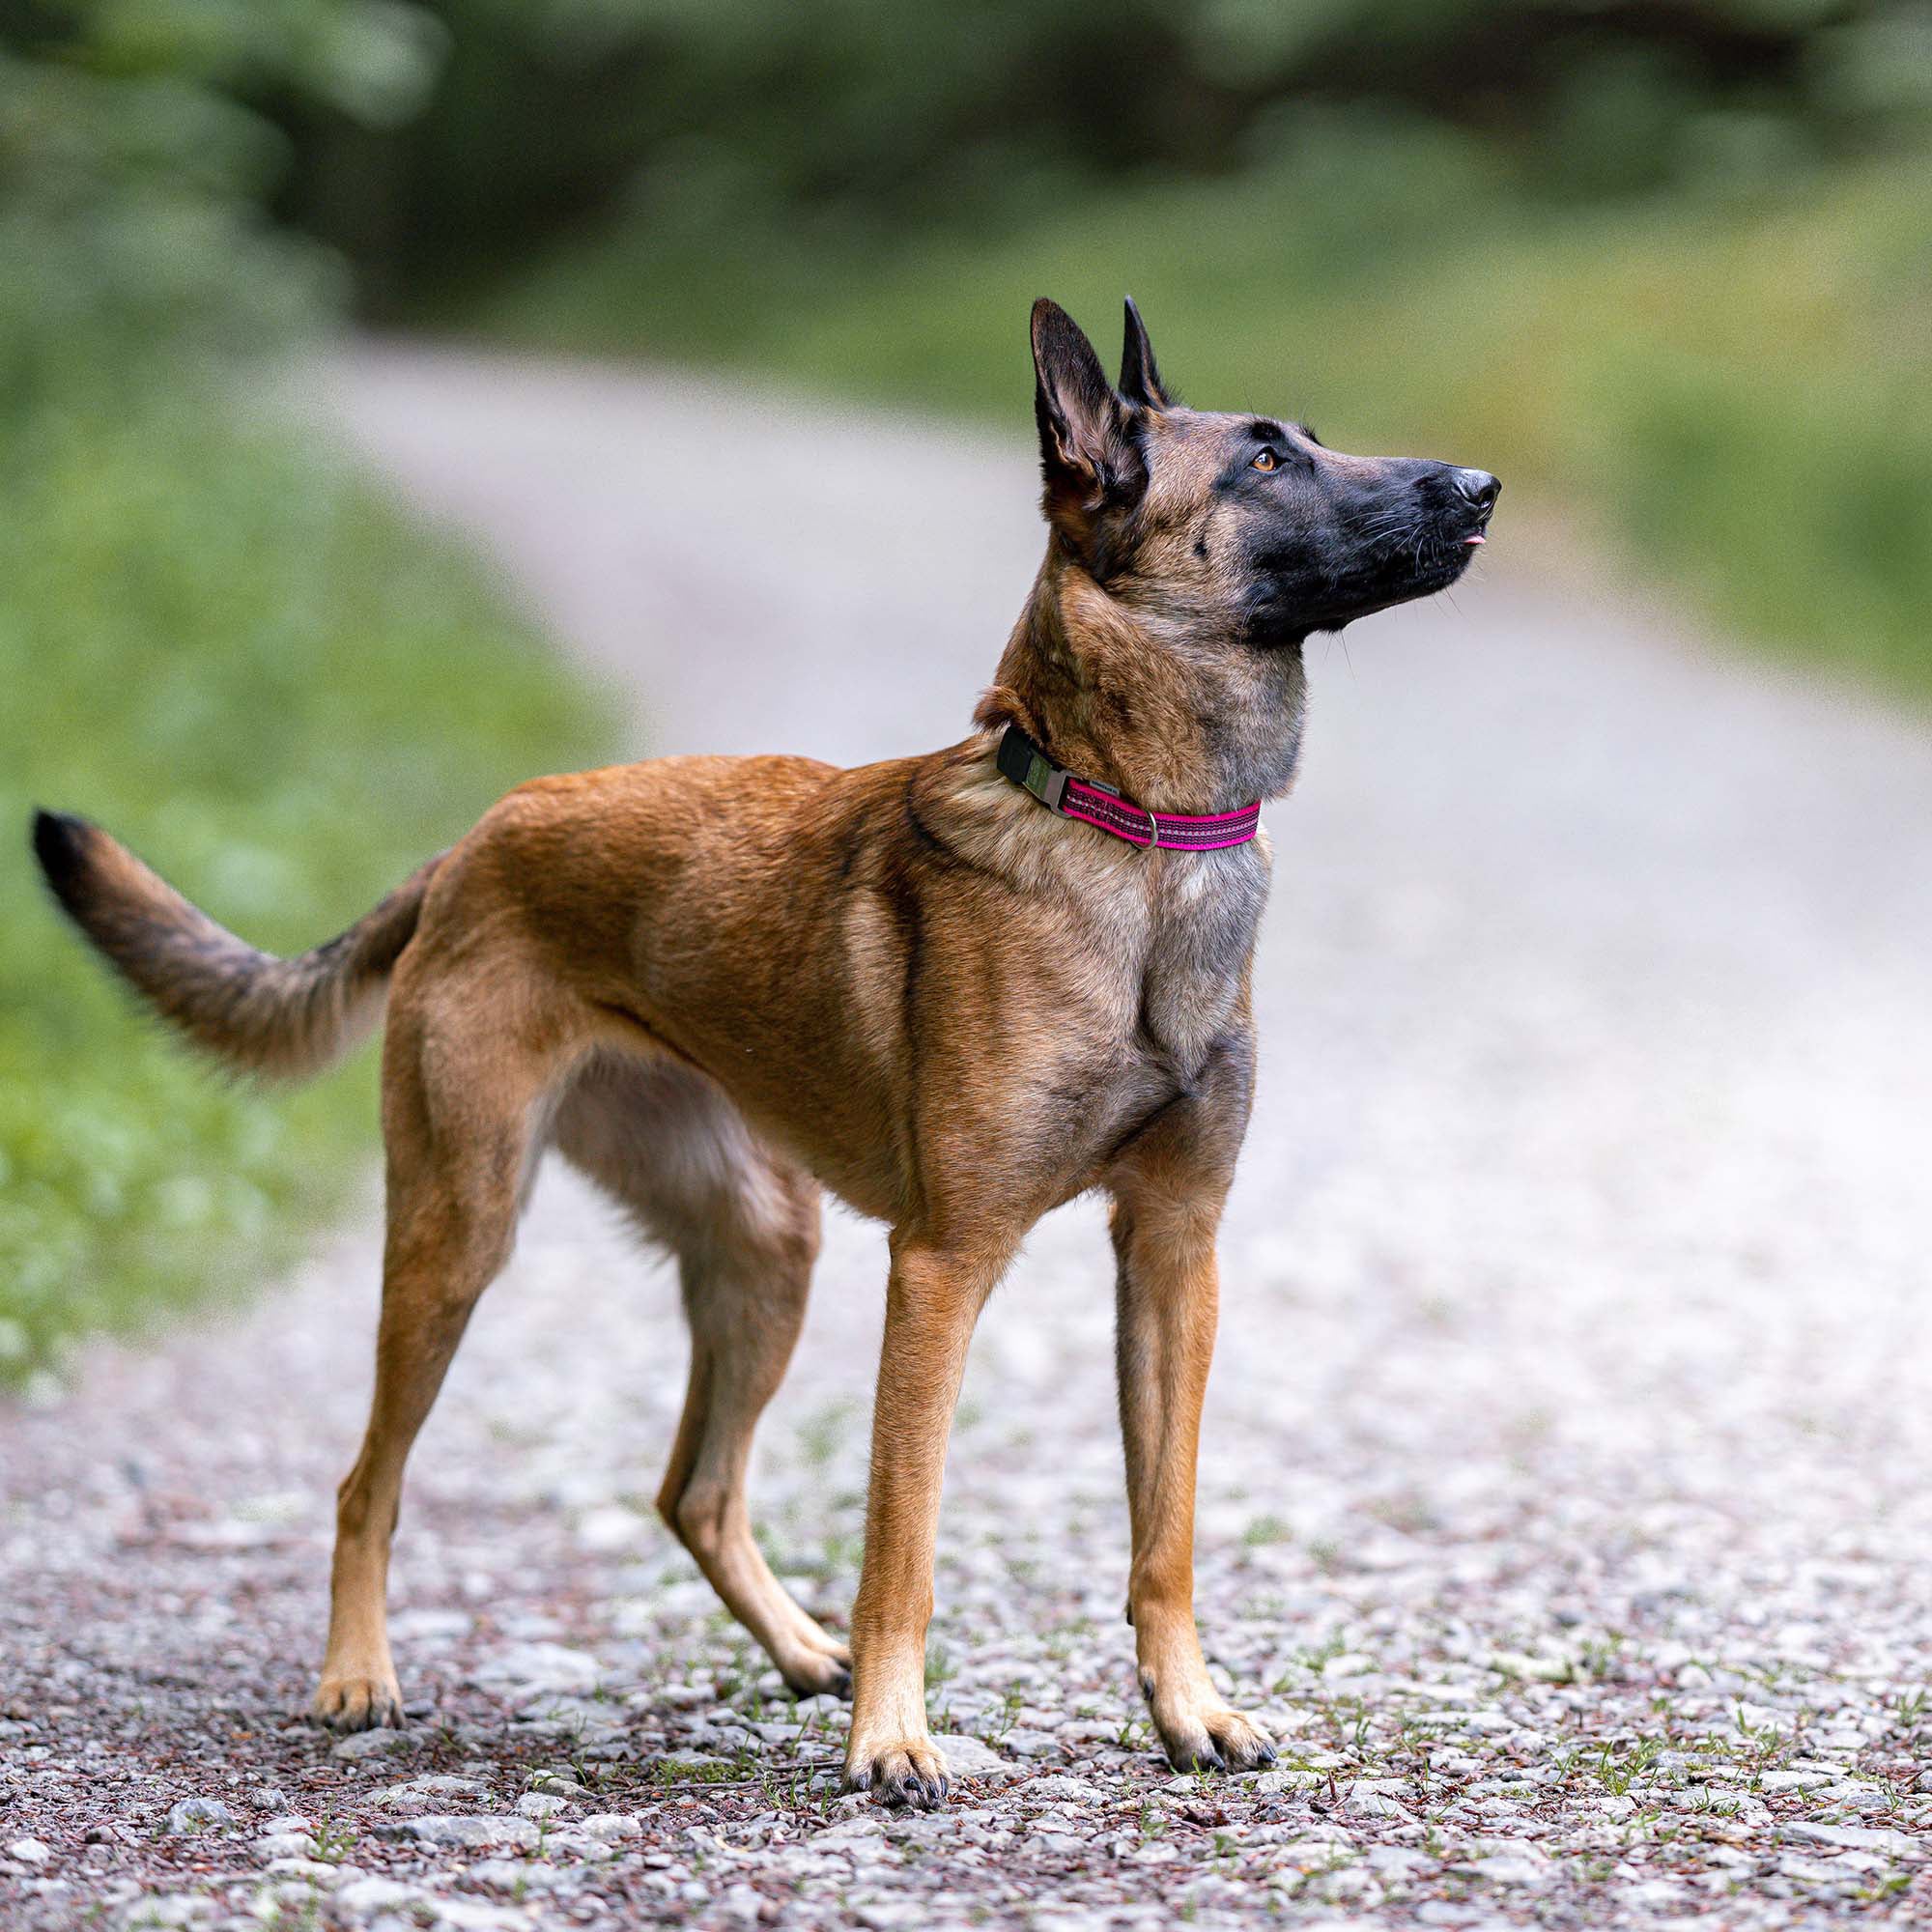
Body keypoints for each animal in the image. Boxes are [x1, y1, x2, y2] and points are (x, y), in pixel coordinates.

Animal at [38, 294, 1499, 1801]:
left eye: (1307, 441)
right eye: (1265, 463)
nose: (1477, 487)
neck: (1129, 830)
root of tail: (477, 839)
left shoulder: (1172, 1256)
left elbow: (1166, 1533)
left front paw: (1185, 1707)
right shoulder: (942, 1266)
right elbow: (903, 1539)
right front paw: (897, 1740)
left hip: (761, 1248)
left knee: (693, 1488)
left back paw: (803, 1654)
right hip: (460, 1233)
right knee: (365, 1481)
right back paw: (356, 1674)